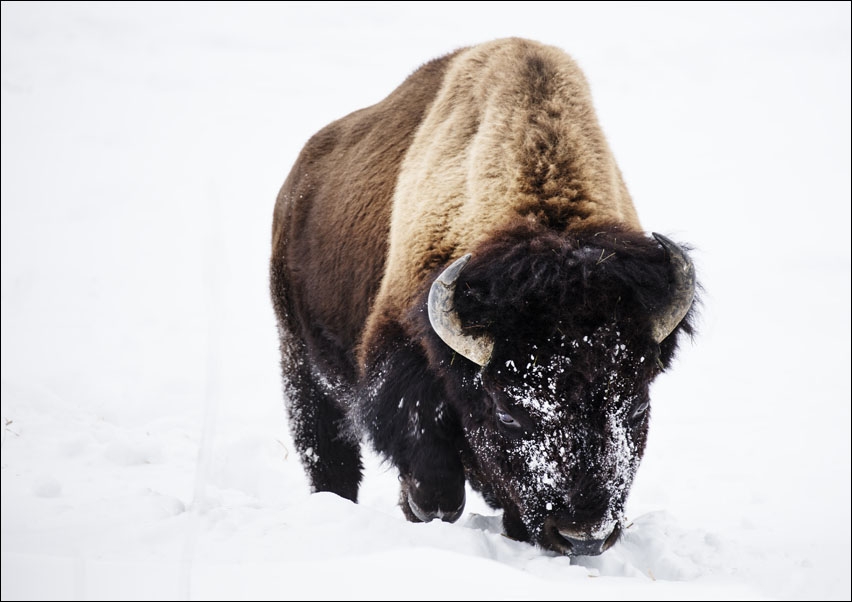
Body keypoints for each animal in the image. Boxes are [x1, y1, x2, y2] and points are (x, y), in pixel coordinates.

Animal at [270, 36, 696, 552]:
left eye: (636, 406)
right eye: (508, 413)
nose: (583, 535)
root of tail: (298, 182)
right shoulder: (400, 361)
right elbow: (436, 483)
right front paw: (423, 508)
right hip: (299, 359)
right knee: (329, 453)